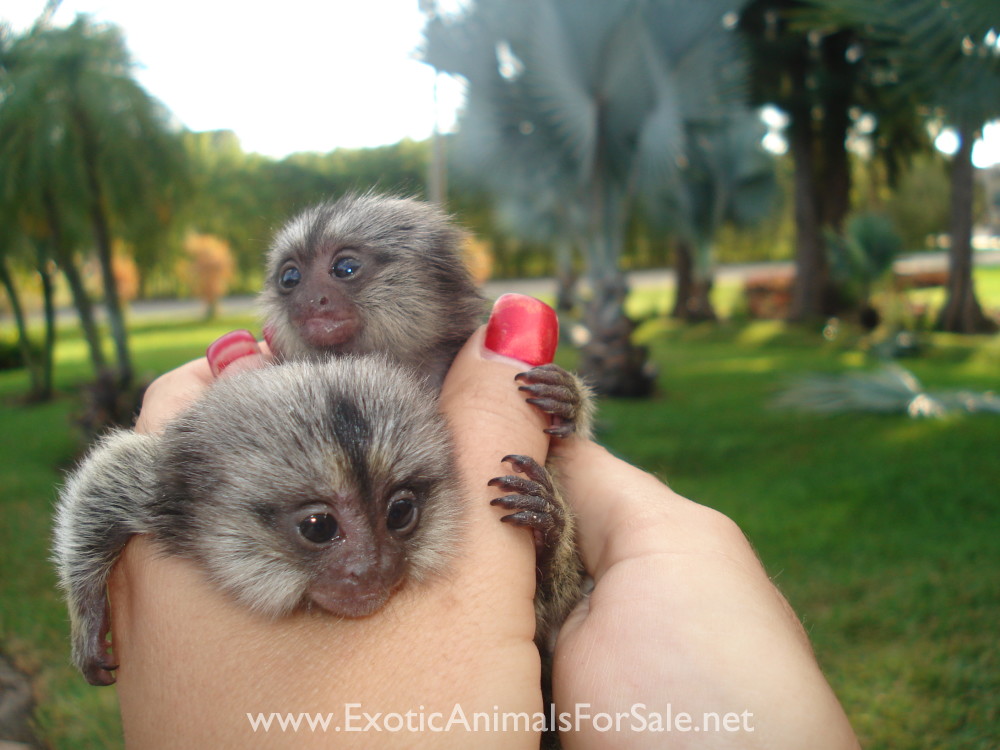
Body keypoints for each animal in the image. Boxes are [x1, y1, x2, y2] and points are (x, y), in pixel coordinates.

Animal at [53, 357, 465, 686]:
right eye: (319, 526)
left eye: (400, 513)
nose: (374, 567)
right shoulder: (151, 489)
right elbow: (103, 484)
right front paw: (89, 621)